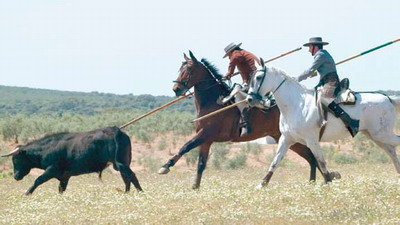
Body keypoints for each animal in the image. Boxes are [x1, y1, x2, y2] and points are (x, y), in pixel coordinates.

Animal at [1, 125, 142, 194]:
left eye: (15, 160)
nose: (16, 176)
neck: (47, 148)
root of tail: (117, 131)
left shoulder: (51, 170)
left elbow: (37, 180)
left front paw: (27, 193)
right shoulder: (64, 177)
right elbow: (61, 189)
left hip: (120, 163)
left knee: (131, 176)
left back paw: (141, 193)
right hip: (121, 164)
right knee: (126, 178)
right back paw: (127, 194)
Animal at [158, 50, 336, 188]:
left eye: (189, 69)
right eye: (180, 68)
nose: (176, 89)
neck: (213, 102)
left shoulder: (206, 134)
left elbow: (185, 147)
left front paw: (165, 166)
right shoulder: (206, 140)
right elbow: (200, 164)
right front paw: (195, 187)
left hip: (293, 139)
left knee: (312, 157)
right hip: (290, 139)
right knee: (311, 158)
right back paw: (316, 182)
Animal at [247, 60, 400, 187]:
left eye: (258, 77)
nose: (249, 99)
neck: (296, 104)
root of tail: (388, 98)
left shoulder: (312, 141)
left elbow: (321, 162)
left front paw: (329, 182)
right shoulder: (286, 139)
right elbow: (275, 162)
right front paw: (262, 184)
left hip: (382, 134)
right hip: (375, 136)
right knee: (392, 152)